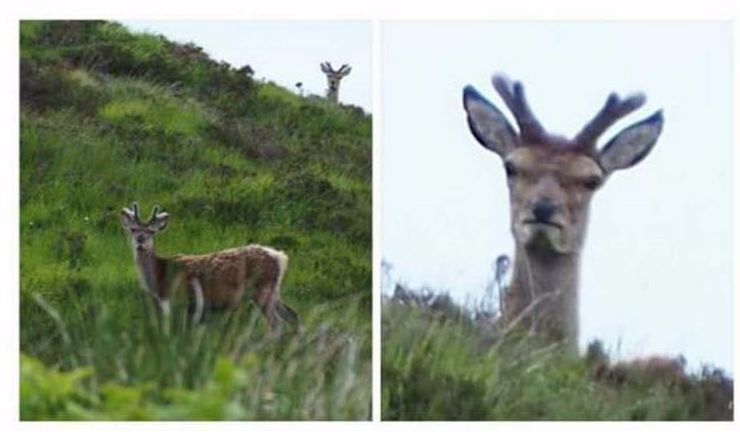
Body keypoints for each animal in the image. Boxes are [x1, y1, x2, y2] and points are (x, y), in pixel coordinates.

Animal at [118, 202, 298, 328]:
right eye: (133, 229)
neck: (160, 275)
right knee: (293, 315)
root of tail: (280, 257)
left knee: (277, 323)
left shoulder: (179, 301)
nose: (140, 241)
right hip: (274, 290)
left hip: (262, 288)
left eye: (152, 231)